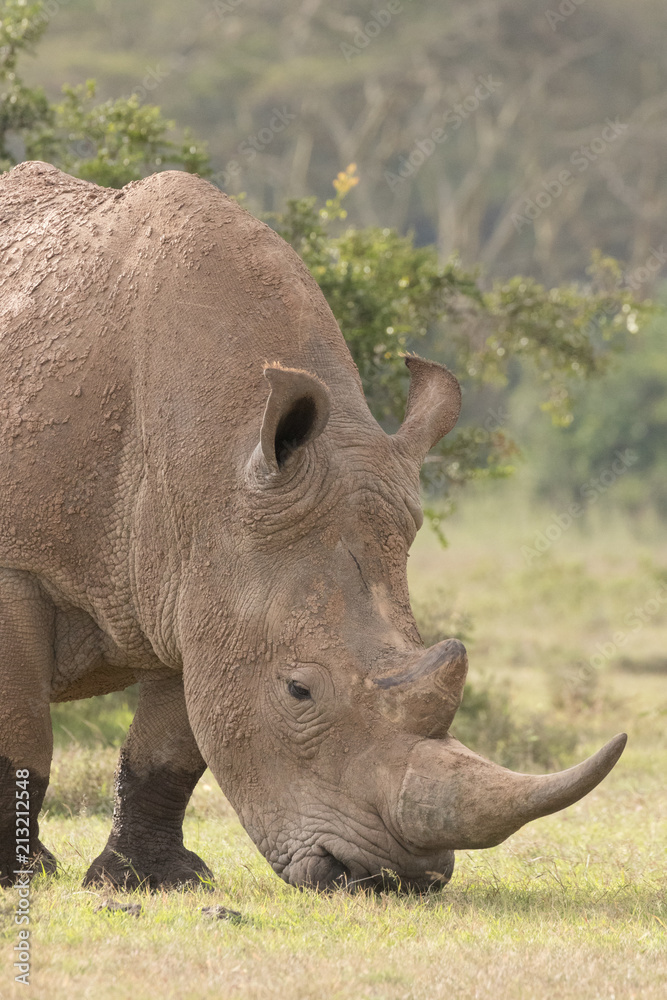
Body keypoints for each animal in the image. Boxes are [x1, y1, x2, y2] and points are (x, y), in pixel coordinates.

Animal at [0, 161, 626, 892]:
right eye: (298, 691)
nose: (391, 878)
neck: (211, 457)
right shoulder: (25, 564)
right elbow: (21, 732)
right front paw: (19, 877)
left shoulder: (198, 579)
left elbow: (169, 746)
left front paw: (150, 879)